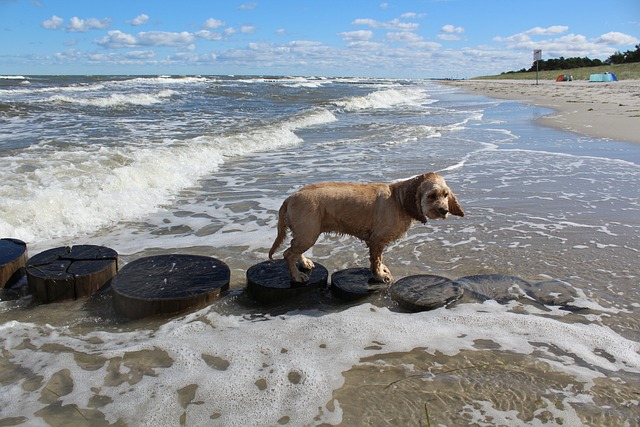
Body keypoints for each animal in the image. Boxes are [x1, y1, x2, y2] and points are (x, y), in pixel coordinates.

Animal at [268, 172, 462, 286]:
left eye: (446, 195)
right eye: (431, 196)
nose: (443, 210)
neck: (399, 200)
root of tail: (291, 197)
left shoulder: (378, 242)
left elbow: (378, 260)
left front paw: (382, 270)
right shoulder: (376, 240)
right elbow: (375, 261)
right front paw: (380, 275)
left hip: (305, 233)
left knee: (294, 250)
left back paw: (304, 263)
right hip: (308, 233)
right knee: (288, 254)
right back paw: (297, 276)